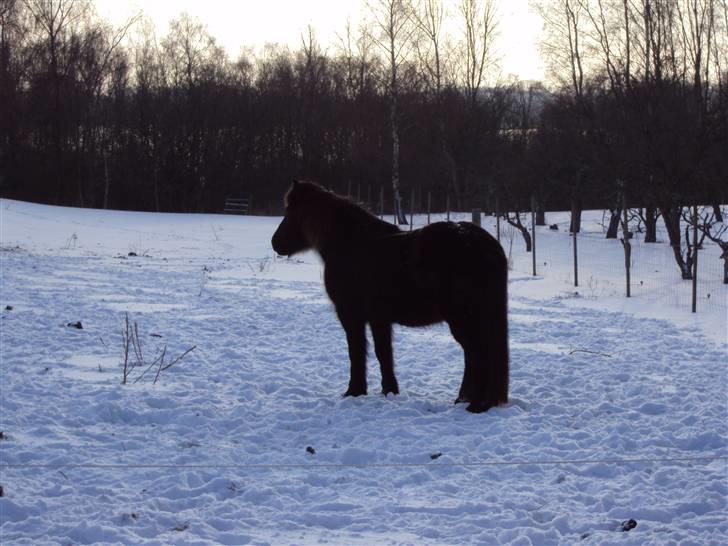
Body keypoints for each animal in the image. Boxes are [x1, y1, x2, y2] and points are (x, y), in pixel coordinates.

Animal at [270, 181, 510, 410]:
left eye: (289, 212)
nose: (275, 242)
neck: (350, 245)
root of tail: (482, 244)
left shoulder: (351, 316)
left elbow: (356, 352)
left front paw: (354, 391)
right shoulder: (379, 319)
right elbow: (383, 354)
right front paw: (389, 391)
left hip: (464, 319)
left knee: (478, 354)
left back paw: (476, 404)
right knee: (474, 355)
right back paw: (463, 399)